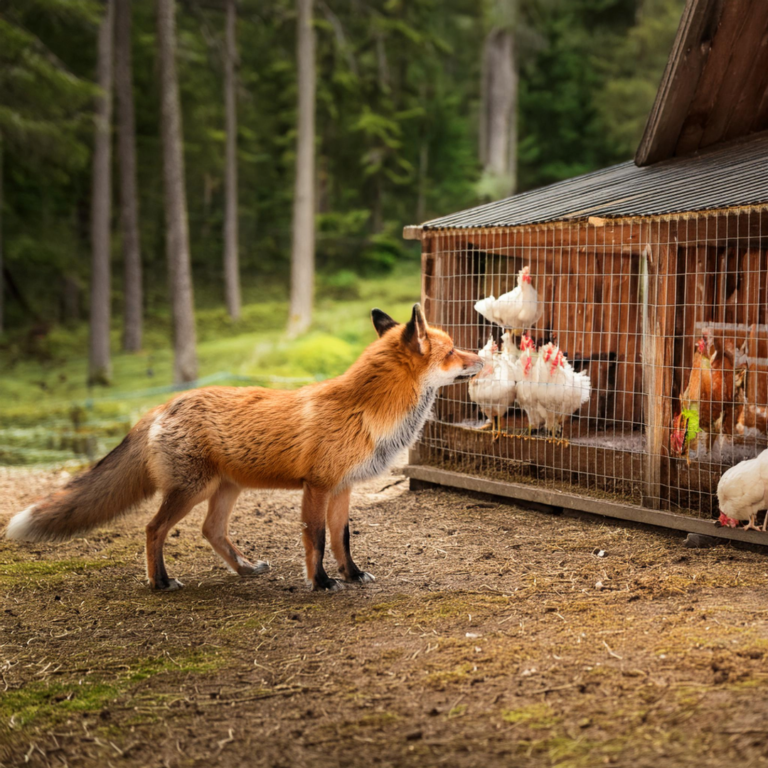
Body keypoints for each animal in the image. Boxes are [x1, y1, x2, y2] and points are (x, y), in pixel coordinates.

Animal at [6, 306, 484, 592]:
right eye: (451, 351)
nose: (482, 357)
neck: (366, 411)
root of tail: (162, 405)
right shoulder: (317, 486)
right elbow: (316, 538)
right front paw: (320, 583)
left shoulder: (343, 487)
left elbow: (342, 538)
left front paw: (350, 574)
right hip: (191, 491)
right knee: (153, 529)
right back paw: (160, 582)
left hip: (226, 490)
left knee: (210, 532)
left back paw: (245, 569)